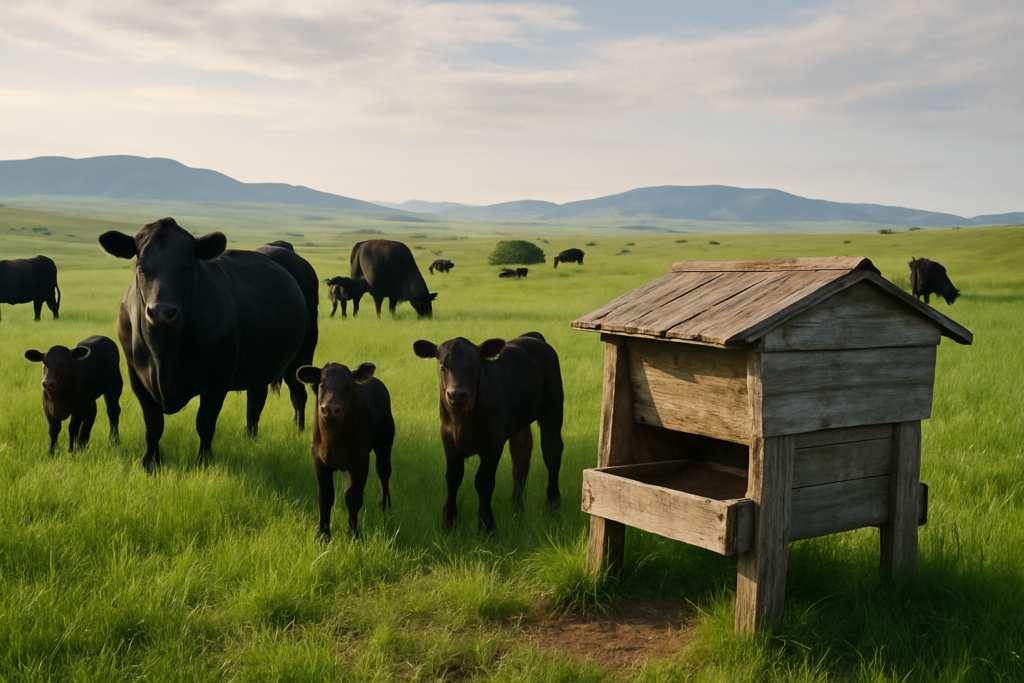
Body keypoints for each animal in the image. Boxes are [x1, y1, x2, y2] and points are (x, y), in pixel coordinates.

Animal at [98, 218, 318, 470]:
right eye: (141, 267)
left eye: (187, 267)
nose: (162, 311)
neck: (164, 353)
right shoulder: (136, 375)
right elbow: (153, 424)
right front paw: (150, 462)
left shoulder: (218, 378)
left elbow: (205, 422)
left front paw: (203, 461)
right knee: (256, 400)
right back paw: (250, 438)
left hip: (300, 356)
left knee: (298, 395)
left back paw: (298, 431)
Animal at [296, 362, 394, 540]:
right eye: (322, 385)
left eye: (347, 386)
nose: (330, 409)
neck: (334, 439)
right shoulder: (319, 461)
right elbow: (325, 497)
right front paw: (322, 535)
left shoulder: (360, 461)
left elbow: (353, 496)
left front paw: (353, 534)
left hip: (384, 445)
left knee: (384, 473)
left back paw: (384, 505)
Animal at [413, 332, 563, 532]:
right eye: (443, 367)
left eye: (474, 366)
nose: (457, 394)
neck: (463, 421)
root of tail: (533, 337)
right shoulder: (448, 440)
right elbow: (452, 478)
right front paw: (448, 522)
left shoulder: (493, 443)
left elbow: (483, 481)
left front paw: (487, 525)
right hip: (520, 423)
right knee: (521, 459)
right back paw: (516, 507)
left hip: (553, 412)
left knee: (552, 455)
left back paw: (552, 506)